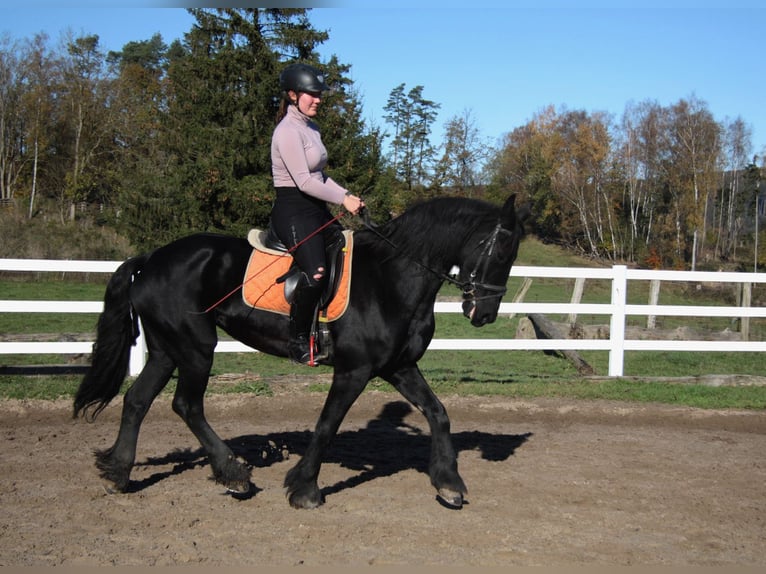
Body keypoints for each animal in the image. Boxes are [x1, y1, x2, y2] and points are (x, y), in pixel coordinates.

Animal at [75, 196, 528, 510]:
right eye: (499, 248)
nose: (484, 313)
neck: (391, 278)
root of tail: (151, 259)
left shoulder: (399, 366)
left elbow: (438, 413)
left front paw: (449, 483)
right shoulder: (354, 370)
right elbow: (327, 424)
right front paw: (305, 488)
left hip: (166, 350)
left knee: (137, 401)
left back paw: (118, 472)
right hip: (195, 348)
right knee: (187, 405)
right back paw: (234, 474)